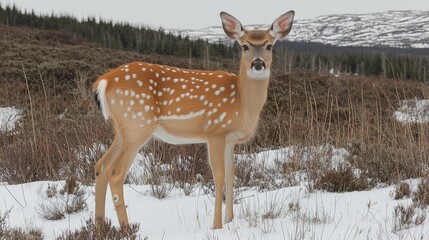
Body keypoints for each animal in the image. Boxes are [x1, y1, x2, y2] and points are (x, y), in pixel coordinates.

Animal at [93, 10, 294, 230]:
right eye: (245, 46)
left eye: (269, 45)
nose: (258, 64)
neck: (242, 103)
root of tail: (103, 82)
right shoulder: (215, 131)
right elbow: (219, 177)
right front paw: (217, 225)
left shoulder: (230, 140)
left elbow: (231, 175)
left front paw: (230, 220)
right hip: (137, 123)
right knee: (116, 174)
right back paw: (127, 229)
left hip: (123, 129)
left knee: (101, 166)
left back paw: (100, 226)